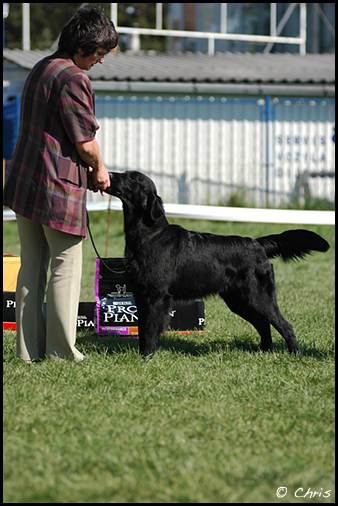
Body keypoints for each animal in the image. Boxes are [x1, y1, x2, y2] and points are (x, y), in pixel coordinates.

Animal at [105, 172, 328, 358]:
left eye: (132, 178)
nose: (110, 174)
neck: (149, 235)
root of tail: (257, 243)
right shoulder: (141, 295)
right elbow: (143, 329)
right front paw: (142, 354)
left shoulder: (156, 296)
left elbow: (151, 329)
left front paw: (147, 357)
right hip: (238, 300)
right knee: (263, 324)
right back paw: (264, 351)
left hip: (259, 297)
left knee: (285, 325)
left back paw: (295, 353)